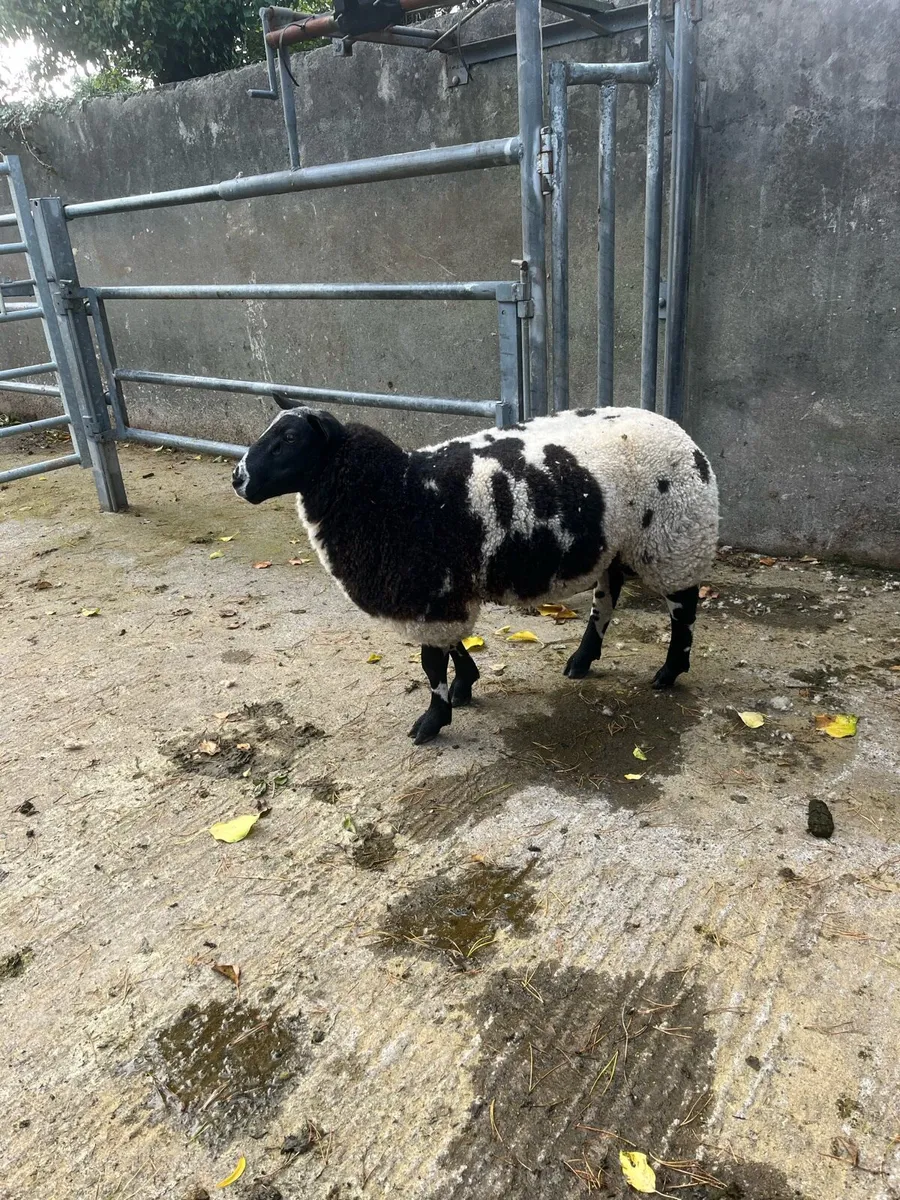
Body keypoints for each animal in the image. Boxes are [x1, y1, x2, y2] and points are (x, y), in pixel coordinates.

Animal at [233, 396, 719, 744]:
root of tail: (677, 430)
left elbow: (431, 663)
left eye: (289, 438)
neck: (397, 492)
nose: (238, 478)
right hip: (615, 544)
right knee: (608, 595)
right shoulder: (442, 592)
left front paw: (432, 721)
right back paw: (582, 659)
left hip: (674, 539)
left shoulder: (431, 592)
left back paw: (669, 672)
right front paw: (465, 686)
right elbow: (450, 648)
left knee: (683, 608)